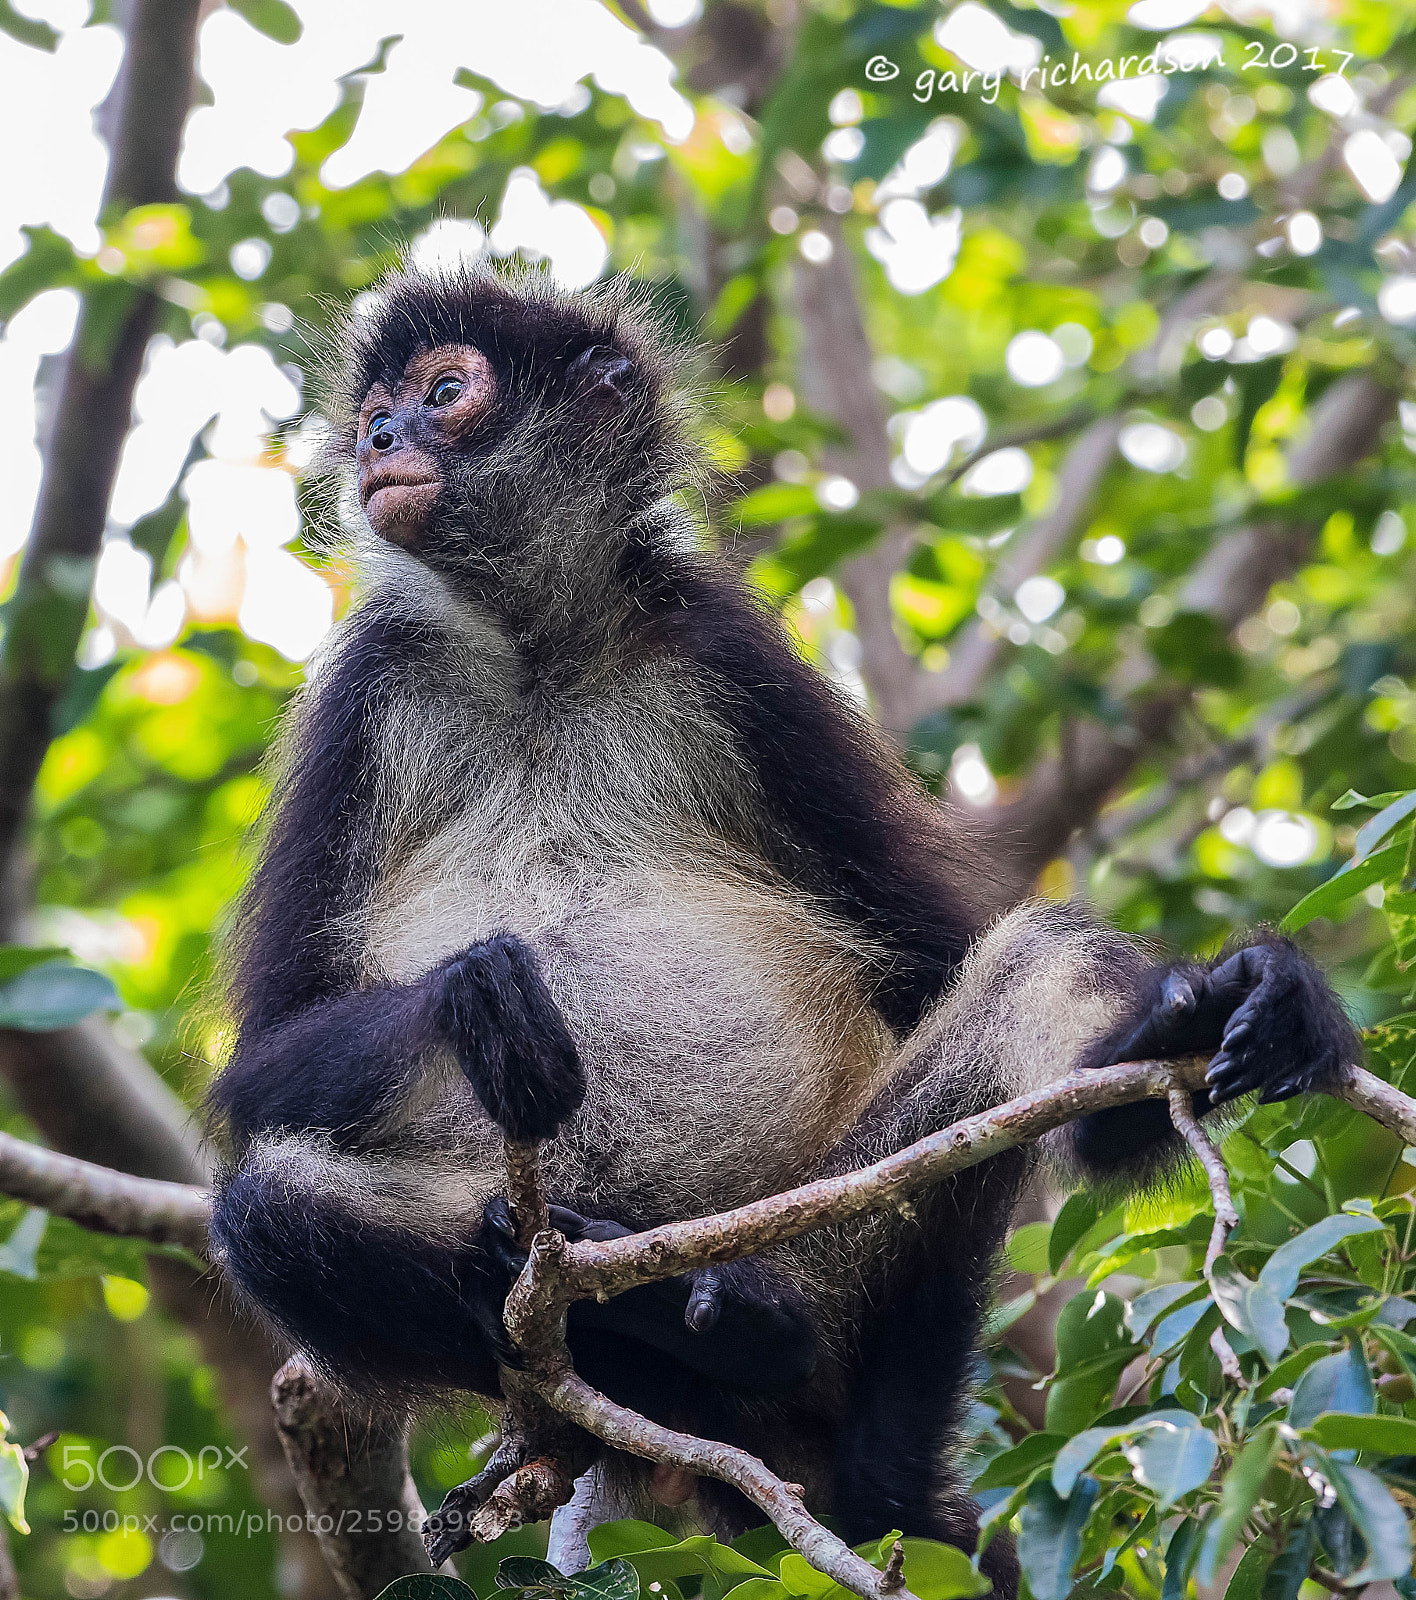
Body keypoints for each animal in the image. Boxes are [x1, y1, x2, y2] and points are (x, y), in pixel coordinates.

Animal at [204, 261, 1358, 1588]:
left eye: (445, 392)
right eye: (374, 410)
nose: (380, 440)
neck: (537, 652)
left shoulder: (723, 646)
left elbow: (938, 951)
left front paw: (1252, 996)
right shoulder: (368, 684)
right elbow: (262, 1068)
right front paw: (477, 1000)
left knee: (1038, 963)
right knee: (267, 1204)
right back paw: (635, 1317)